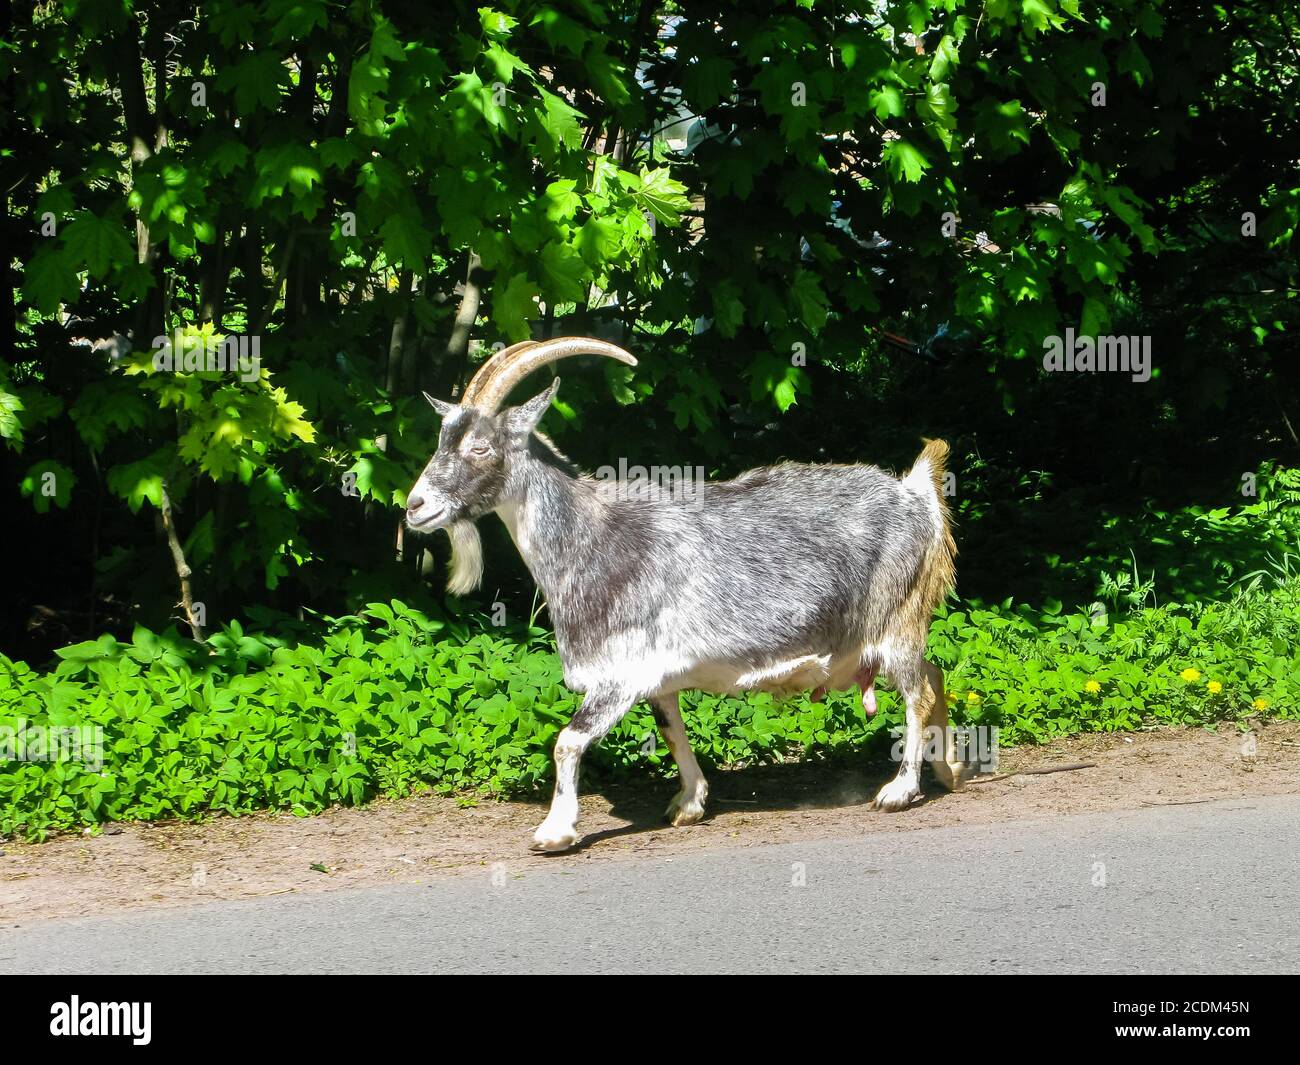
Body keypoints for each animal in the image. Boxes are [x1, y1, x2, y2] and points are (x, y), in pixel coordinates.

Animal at [406, 337, 965, 851]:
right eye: (442, 439)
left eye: (480, 446)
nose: (415, 506)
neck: (595, 540)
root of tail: (916, 495)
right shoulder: (658, 677)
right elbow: (673, 730)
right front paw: (689, 804)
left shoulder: (619, 675)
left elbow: (566, 742)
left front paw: (554, 831)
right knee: (936, 675)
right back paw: (950, 770)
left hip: (896, 620)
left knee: (918, 692)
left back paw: (900, 790)